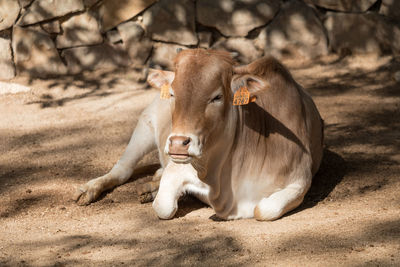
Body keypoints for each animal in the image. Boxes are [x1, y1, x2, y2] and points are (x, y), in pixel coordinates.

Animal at [73, 49, 324, 221]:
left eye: (217, 97)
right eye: (173, 93)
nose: (178, 143)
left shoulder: (300, 180)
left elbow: (264, 209)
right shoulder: (183, 166)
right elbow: (164, 206)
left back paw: (149, 186)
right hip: (145, 123)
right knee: (122, 170)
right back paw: (88, 190)